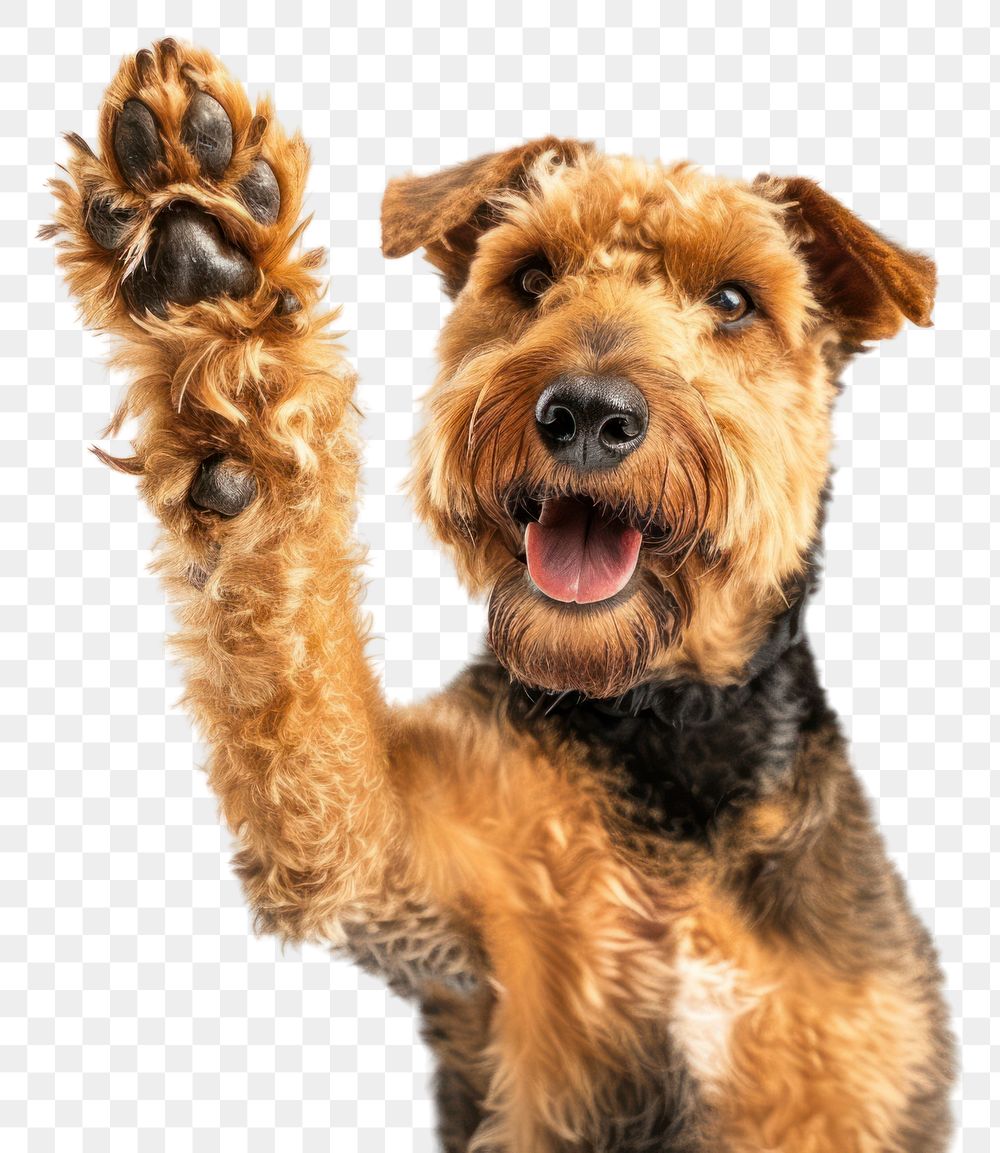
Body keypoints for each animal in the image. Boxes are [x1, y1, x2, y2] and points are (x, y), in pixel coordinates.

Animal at [47, 36, 955, 1153]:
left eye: (735, 300)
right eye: (531, 275)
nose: (586, 413)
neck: (664, 740)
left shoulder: (840, 1082)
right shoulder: (413, 881)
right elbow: (313, 722)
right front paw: (222, 326)